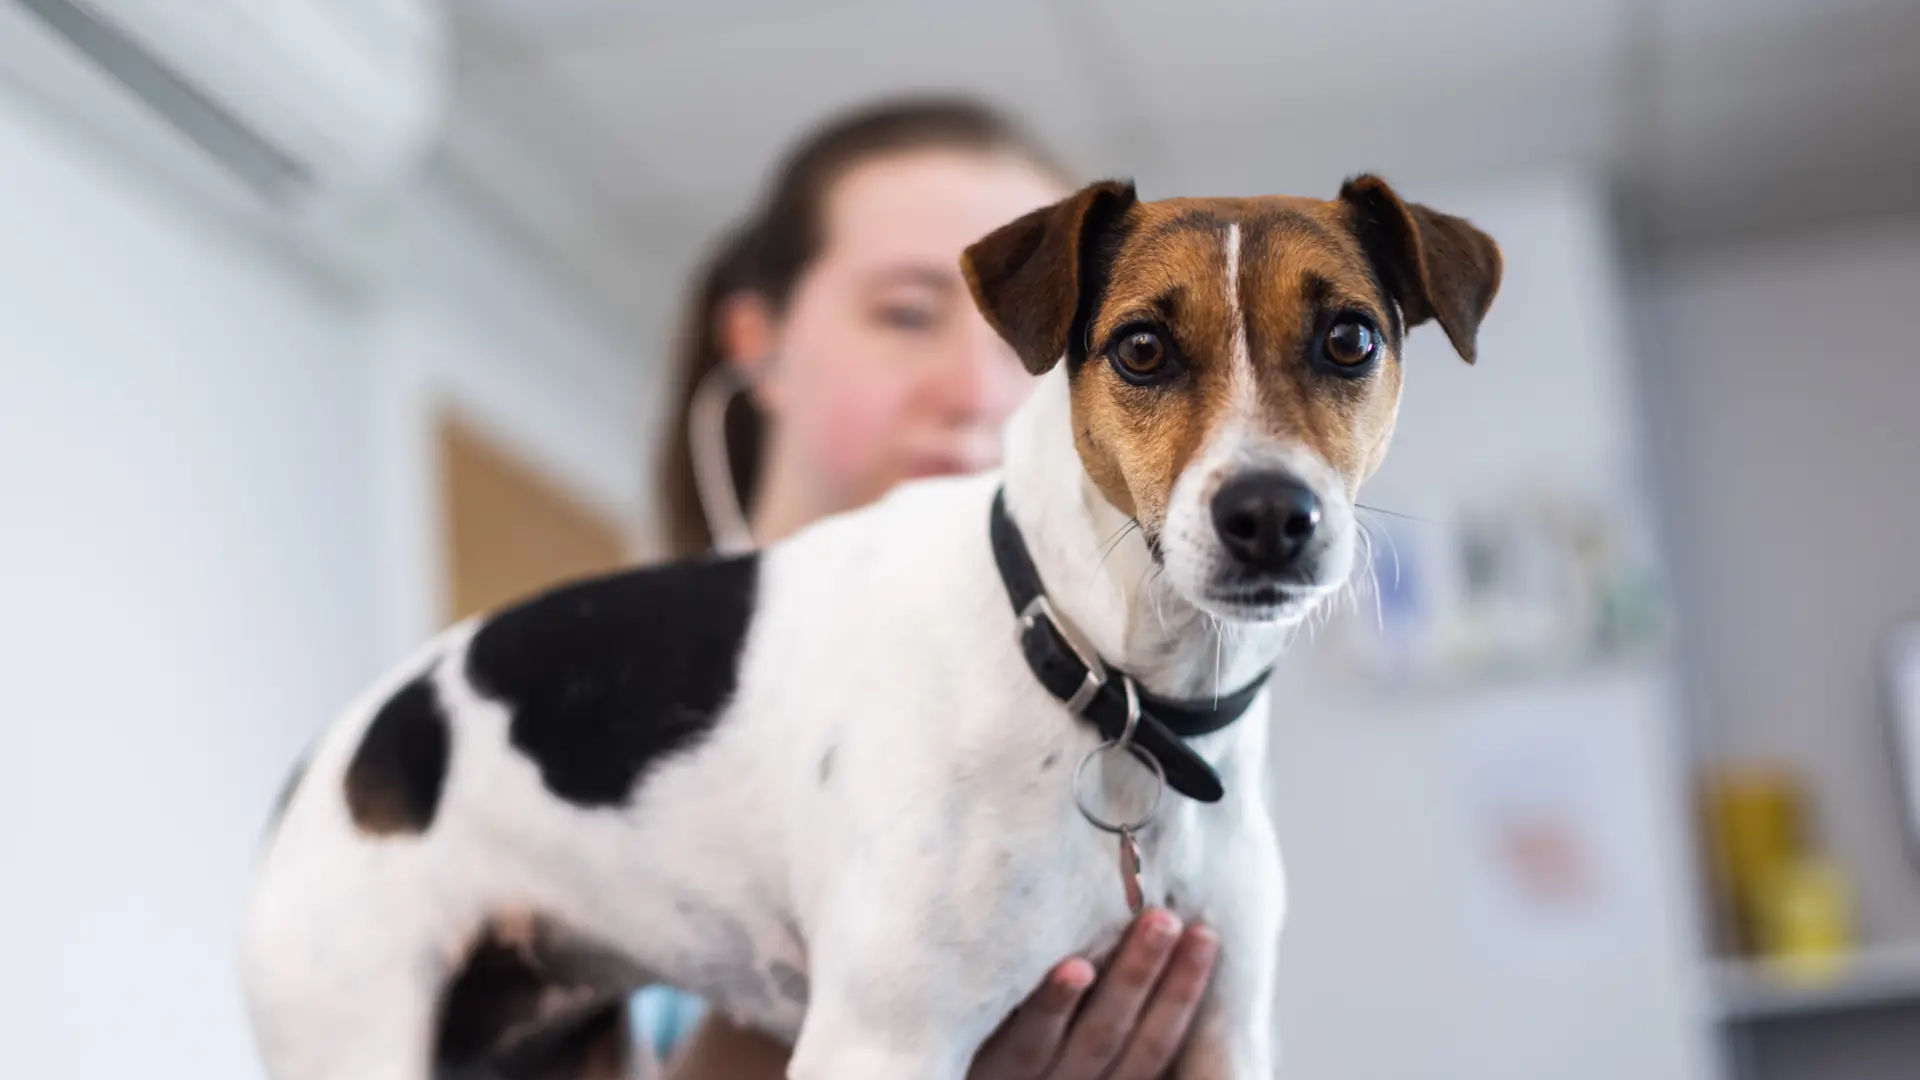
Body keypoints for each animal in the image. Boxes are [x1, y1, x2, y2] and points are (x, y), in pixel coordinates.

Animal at [240, 176, 1497, 1076]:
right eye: (1142, 348)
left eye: (1350, 340)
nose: (1271, 517)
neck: (1099, 674)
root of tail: (331, 751)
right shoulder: (881, 1044)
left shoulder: (1223, 1036)